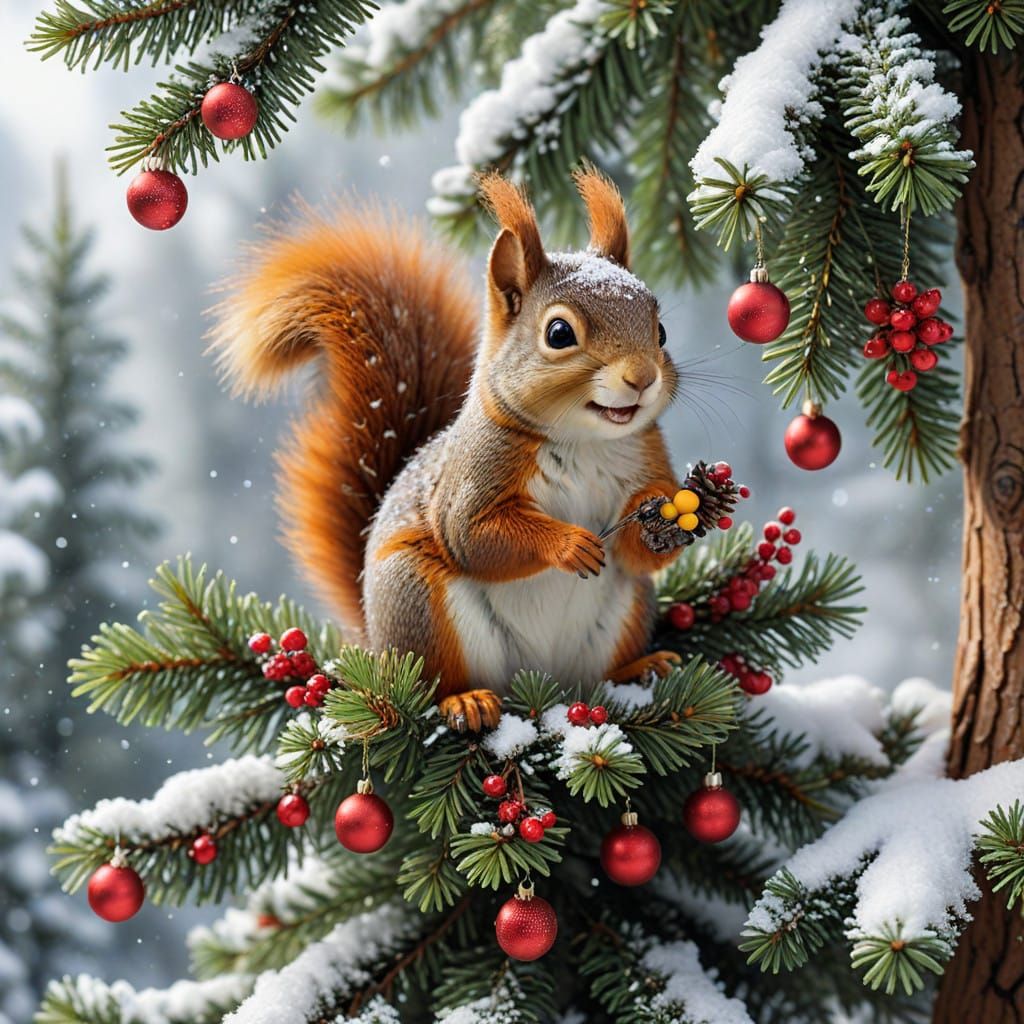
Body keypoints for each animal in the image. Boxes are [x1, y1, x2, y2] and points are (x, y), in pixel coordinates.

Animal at [211, 169, 697, 732]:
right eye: (559, 333)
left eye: (660, 330)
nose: (642, 378)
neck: (585, 442)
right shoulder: (477, 470)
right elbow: (473, 534)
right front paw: (567, 544)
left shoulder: (645, 455)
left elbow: (640, 552)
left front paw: (667, 519)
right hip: (418, 599)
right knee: (435, 682)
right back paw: (465, 702)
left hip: (626, 608)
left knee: (602, 666)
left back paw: (640, 669)